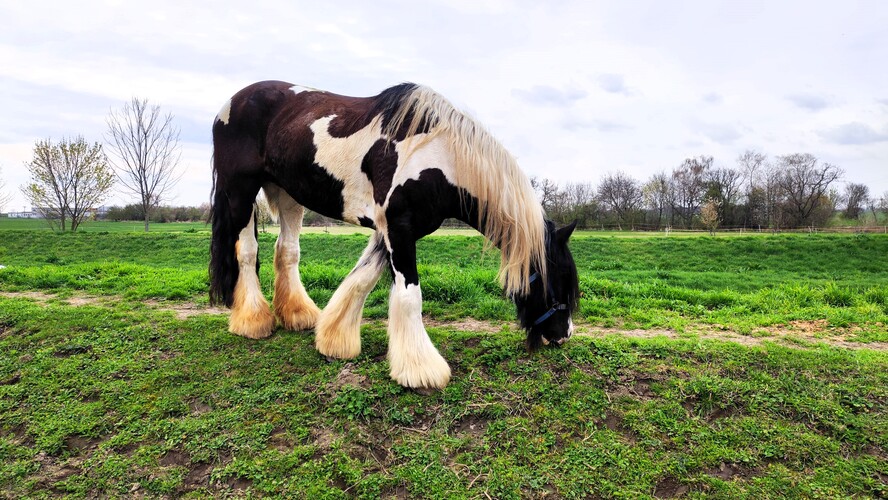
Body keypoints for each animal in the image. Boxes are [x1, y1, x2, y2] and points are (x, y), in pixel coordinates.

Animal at [210, 81, 584, 390]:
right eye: (556, 283)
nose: (564, 334)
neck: (438, 155)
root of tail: (229, 104)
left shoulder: (390, 230)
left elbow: (361, 279)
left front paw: (334, 340)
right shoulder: (398, 229)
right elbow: (408, 296)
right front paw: (421, 371)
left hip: (288, 196)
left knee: (286, 250)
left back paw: (298, 315)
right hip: (241, 192)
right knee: (247, 251)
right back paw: (253, 321)